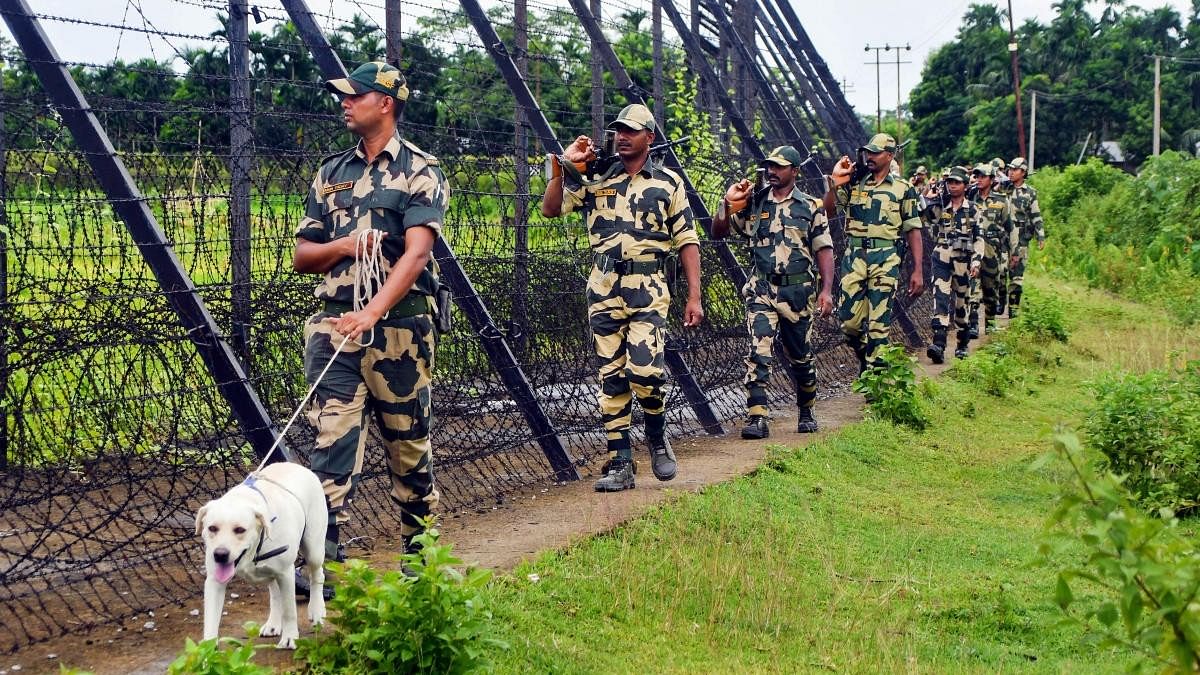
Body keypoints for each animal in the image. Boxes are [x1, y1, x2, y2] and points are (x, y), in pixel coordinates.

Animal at [196, 458, 328, 643]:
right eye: (212, 528)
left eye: (240, 530)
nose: (220, 555)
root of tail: (296, 465)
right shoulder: (215, 581)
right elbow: (210, 622)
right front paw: (207, 650)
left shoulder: (286, 573)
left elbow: (289, 611)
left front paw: (290, 637)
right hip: (273, 572)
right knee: (275, 594)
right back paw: (273, 624)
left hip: (313, 549)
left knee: (317, 575)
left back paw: (316, 611)